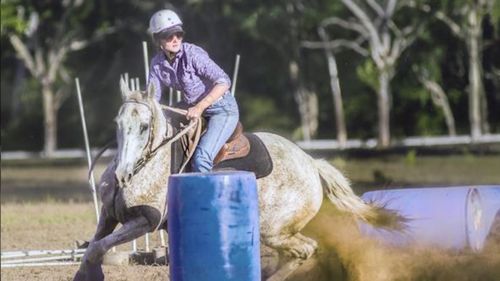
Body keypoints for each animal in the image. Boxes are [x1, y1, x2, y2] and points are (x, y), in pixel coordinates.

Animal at [73, 78, 398, 280]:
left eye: (143, 126)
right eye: (118, 123)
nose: (122, 174)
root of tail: (311, 164)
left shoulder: (143, 221)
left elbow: (98, 249)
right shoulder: (108, 217)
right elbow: (92, 248)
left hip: (274, 230)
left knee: (305, 249)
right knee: (295, 254)